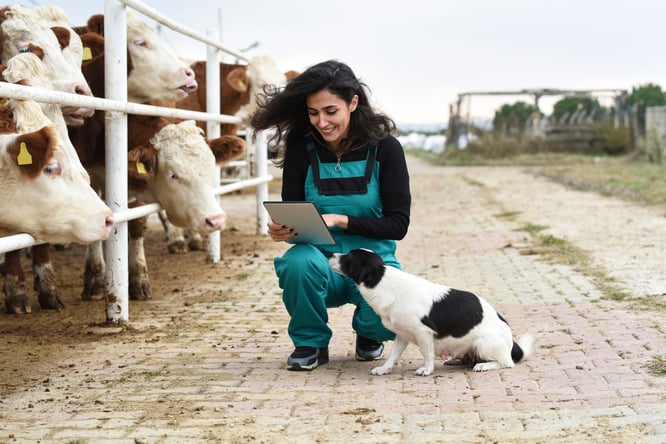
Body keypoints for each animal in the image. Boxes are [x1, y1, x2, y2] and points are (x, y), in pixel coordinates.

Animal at [328, 248, 536, 376]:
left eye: (348, 257)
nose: (329, 253)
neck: (382, 280)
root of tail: (512, 344)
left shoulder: (423, 333)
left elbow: (427, 353)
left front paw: (427, 370)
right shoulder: (402, 335)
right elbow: (393, 355)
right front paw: (384, 369)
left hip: (483, 344)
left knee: (506, 363)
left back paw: (484, 365)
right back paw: (456, 359)